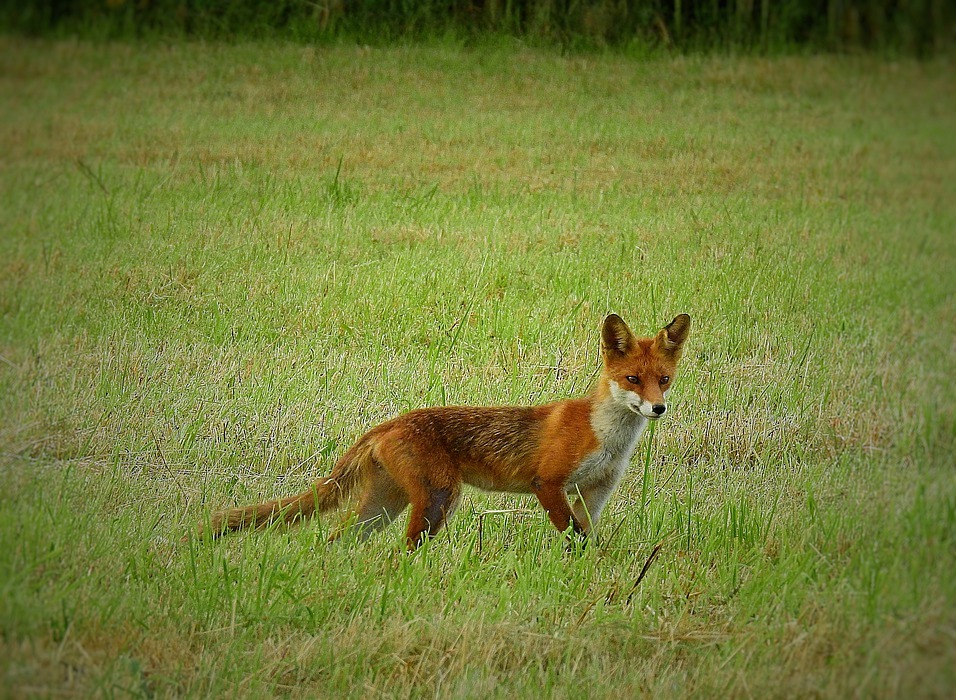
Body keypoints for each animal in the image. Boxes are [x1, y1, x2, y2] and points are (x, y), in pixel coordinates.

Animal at [205, 314, 692, 548]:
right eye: (632, 379)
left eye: (664, 379)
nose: (658, 408)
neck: (607, 437)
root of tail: (389, 422)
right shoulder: (548, 482)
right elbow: (572, 536)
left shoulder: (595, 491)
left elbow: (585, 536)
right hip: (440, 498)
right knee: (399, 550)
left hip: (385, 505)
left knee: (336, 539)